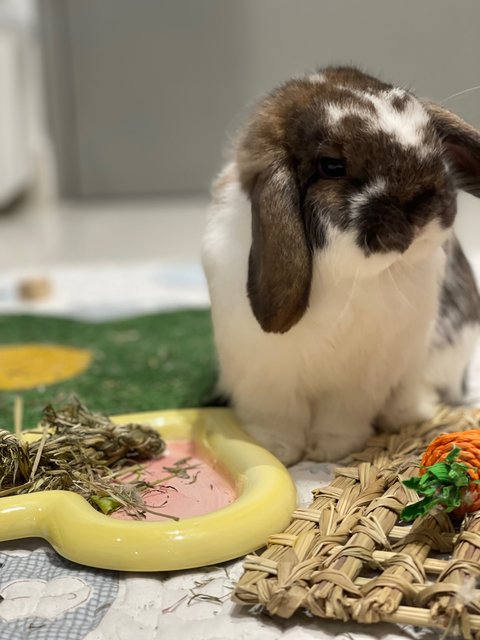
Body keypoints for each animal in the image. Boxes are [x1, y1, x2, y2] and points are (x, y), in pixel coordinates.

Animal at [201, 66, 480, 464]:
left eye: (433, 144)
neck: (348, 277)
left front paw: (329, 450)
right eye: (332, 166)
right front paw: (279, 450)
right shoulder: (264, 374)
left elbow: (341, 417)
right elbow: (277, 418)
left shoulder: (360, 379)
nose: (423, 203)